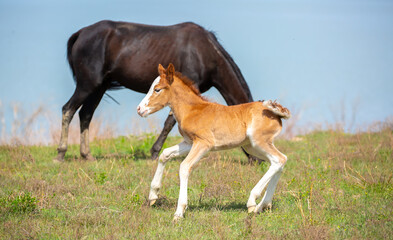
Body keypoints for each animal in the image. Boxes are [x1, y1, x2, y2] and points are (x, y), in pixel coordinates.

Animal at [53, 20, 253, 162]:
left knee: (85, 114)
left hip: (99, 87)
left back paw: (87, 155)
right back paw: (61, 154)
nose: (257, 161)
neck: (204, 52)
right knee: (68, 110)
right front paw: (155, 152)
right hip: (87, 85)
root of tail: (81, 33)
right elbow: (169, 123)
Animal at [136, 63, 290, 221]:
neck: (192, 110)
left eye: (157, 89)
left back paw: (253, 201)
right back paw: (263, 205)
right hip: (251, 147)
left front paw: (179, 213)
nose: (139, 109)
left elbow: (184, 167)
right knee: (279, 162)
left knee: (279, 160)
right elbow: (165, 154)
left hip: (259, 142)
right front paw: (153, 195)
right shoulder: (189, 142)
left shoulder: (204, 143)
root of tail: (277, 113)